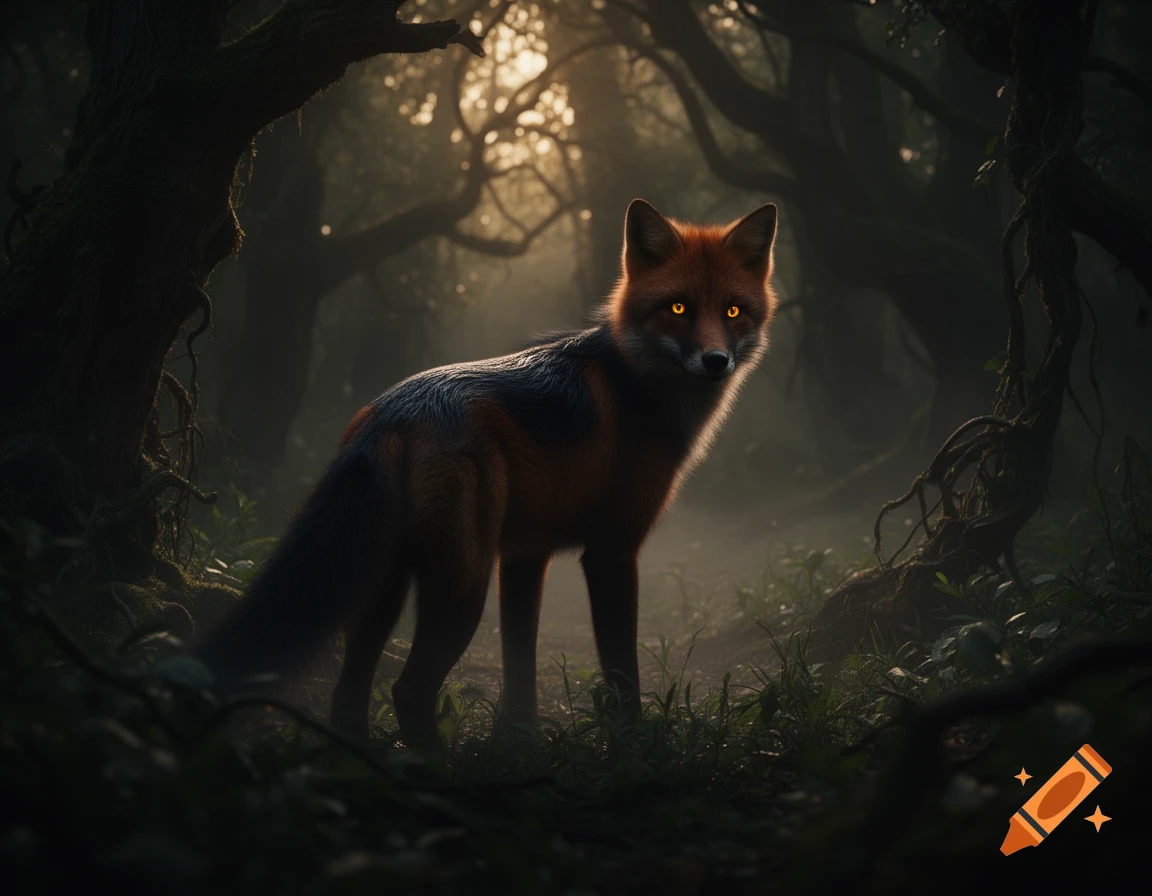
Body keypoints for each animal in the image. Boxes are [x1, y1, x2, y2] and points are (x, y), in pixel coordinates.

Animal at [194, 198, 779, 745]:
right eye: (678, 307)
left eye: (733, 311)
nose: (716, 361)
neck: (635, 381)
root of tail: (393, 411)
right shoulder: (611, 552)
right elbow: (622, 674)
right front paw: (631, 741)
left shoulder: (524, 554)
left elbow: (520, 666)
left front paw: (520, 741)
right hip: (461, 588)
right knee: (407, 689)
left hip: (384, 586)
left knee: (349, 691)